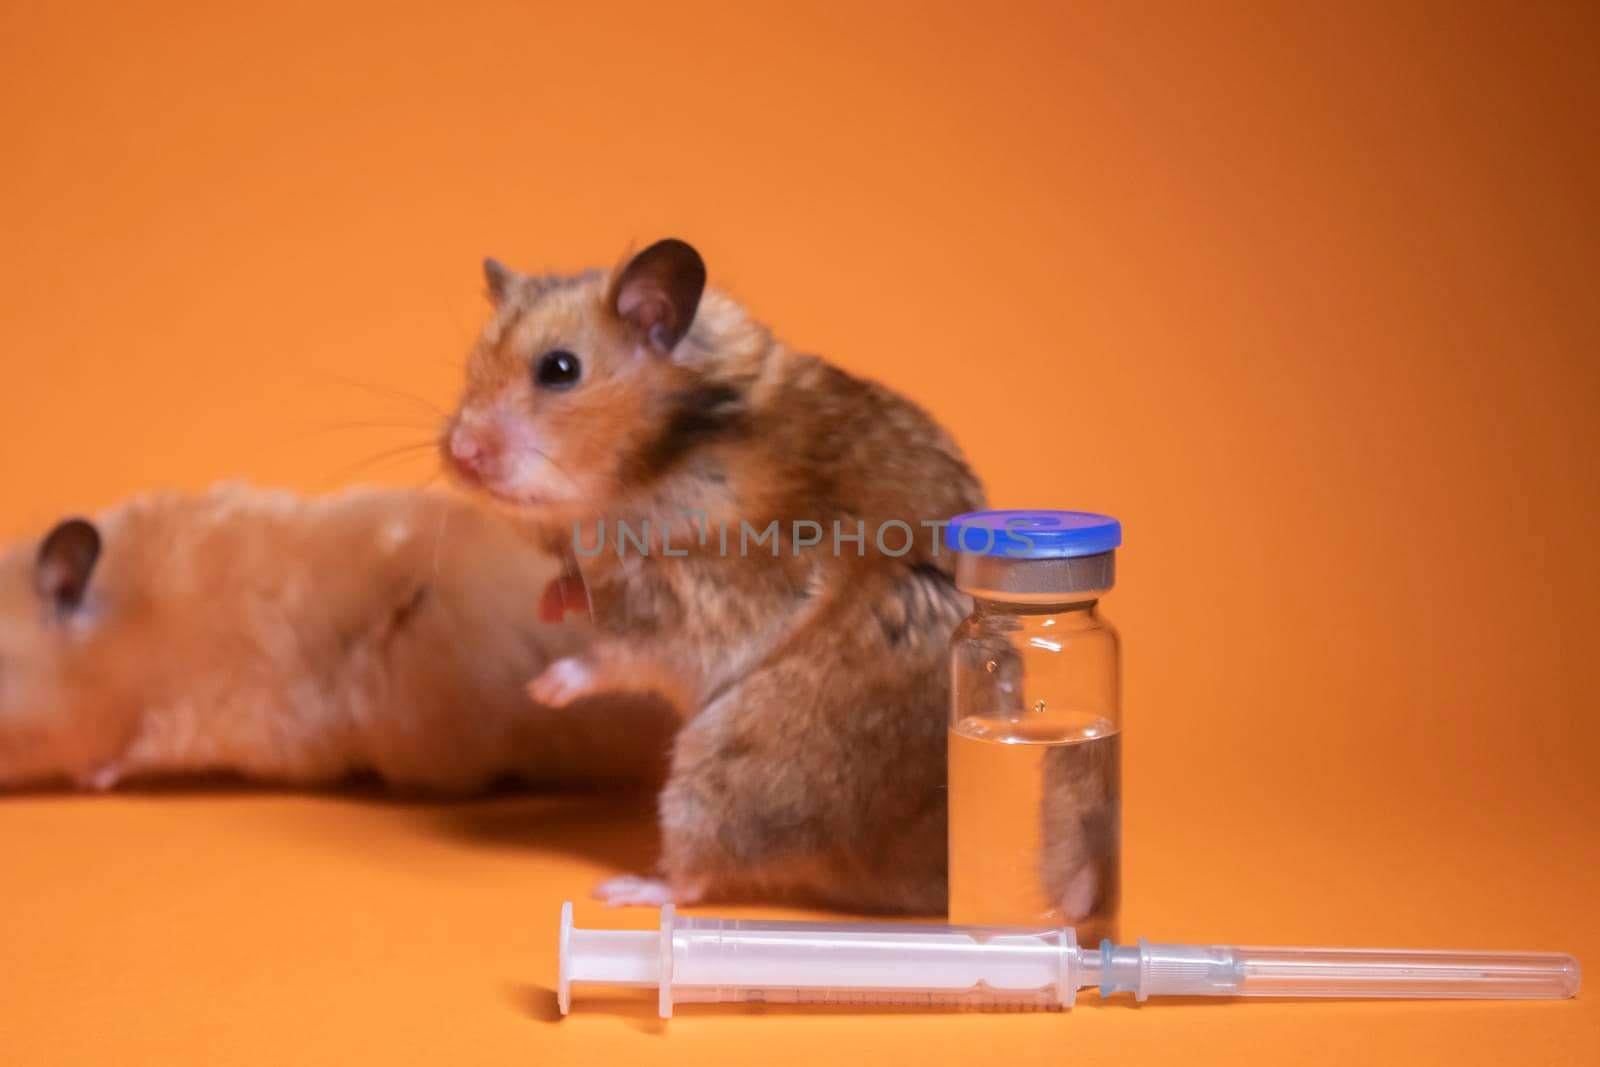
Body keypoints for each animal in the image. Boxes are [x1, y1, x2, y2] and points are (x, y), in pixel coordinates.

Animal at [444, 239, 979, 908]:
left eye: (559, 369)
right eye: (473, 363)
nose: (457, 454)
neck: (660, 460)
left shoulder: (703, 599)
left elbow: (619, 653)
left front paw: (543, 689)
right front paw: (552, 601)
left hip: (731, 763)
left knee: (699, 873)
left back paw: (625, 890)